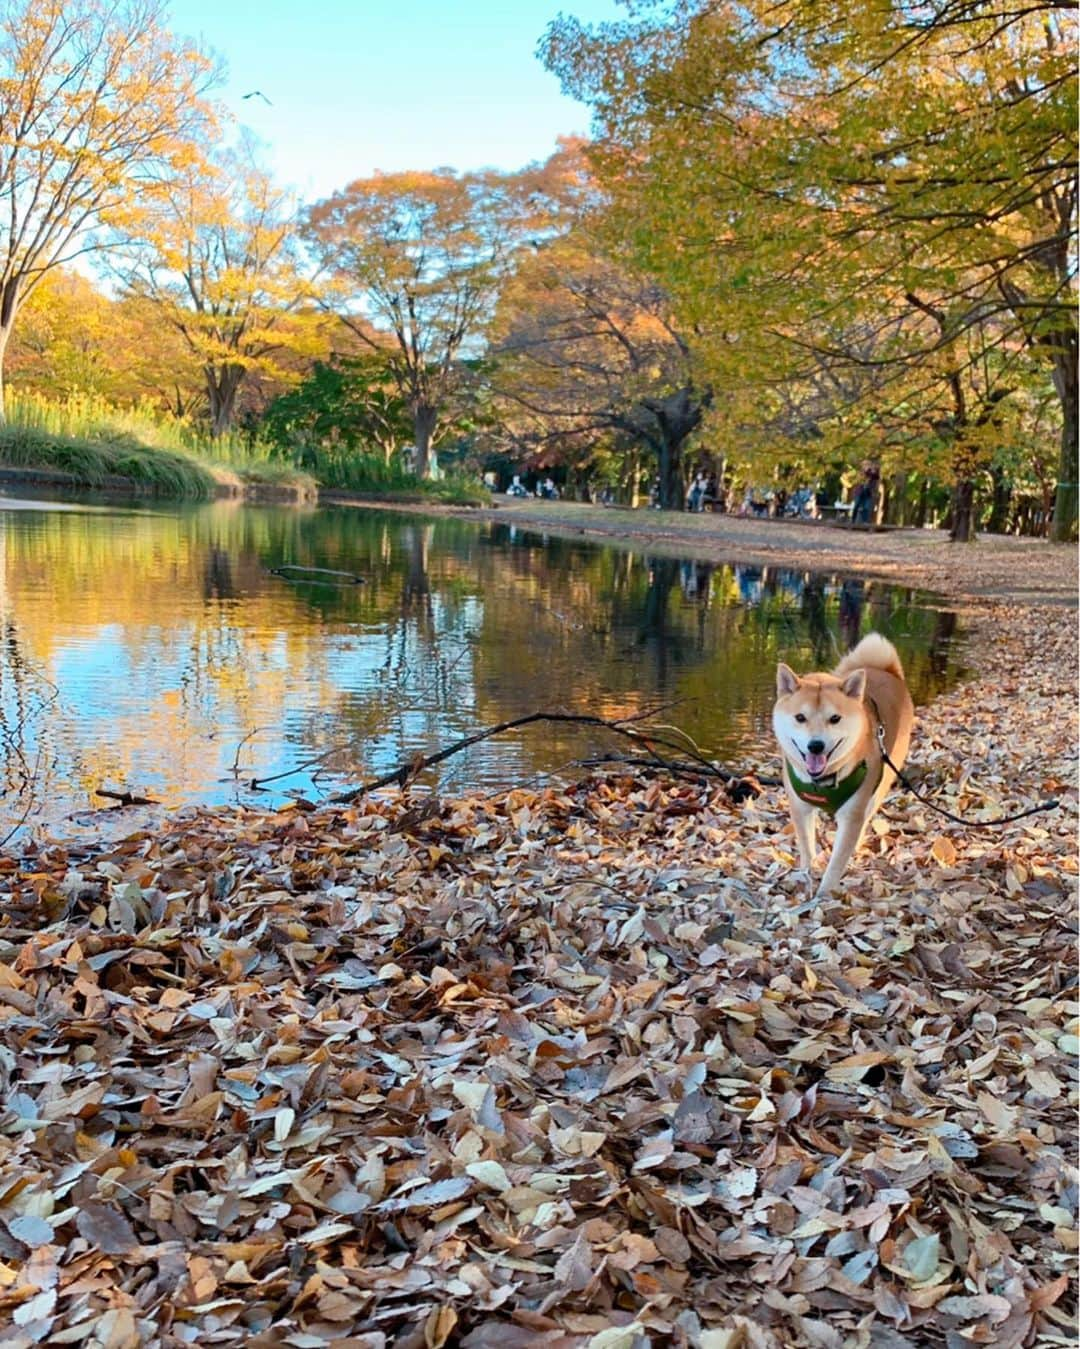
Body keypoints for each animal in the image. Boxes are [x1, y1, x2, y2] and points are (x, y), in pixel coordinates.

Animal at [771, 631, 916, 895]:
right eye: (800, 717)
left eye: (835, 718)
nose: (816, 745)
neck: (822, 781)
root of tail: (886, 671)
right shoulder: (800, 807)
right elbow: (806, 847)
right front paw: (808, 873)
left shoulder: (852, 815)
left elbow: (837, 861)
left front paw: (824, 894)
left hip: (881, 785)